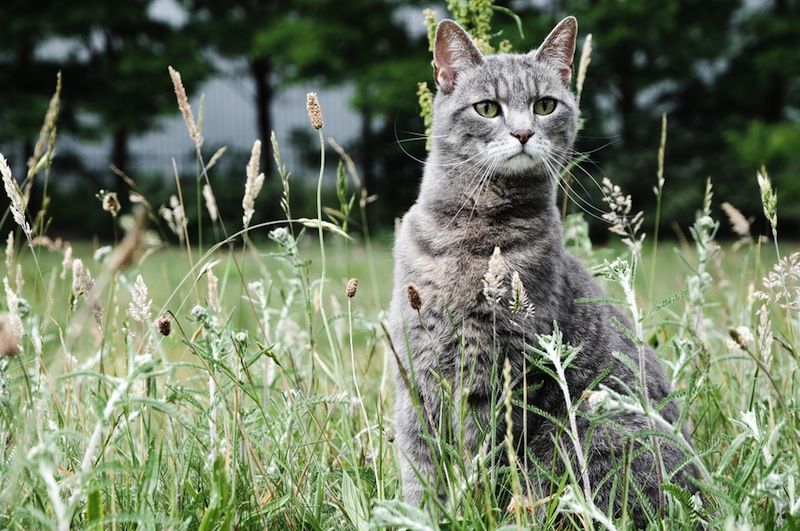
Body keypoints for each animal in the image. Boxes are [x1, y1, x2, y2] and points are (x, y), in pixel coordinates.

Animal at [390, 15, 696, 524]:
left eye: (545, 105)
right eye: (487, 108)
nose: (523, 133)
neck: (470, 234)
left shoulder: (501, 367)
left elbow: (477, 453)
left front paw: (474, 507)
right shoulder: (416, 366)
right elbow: (421, 460)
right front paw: (426, 514)